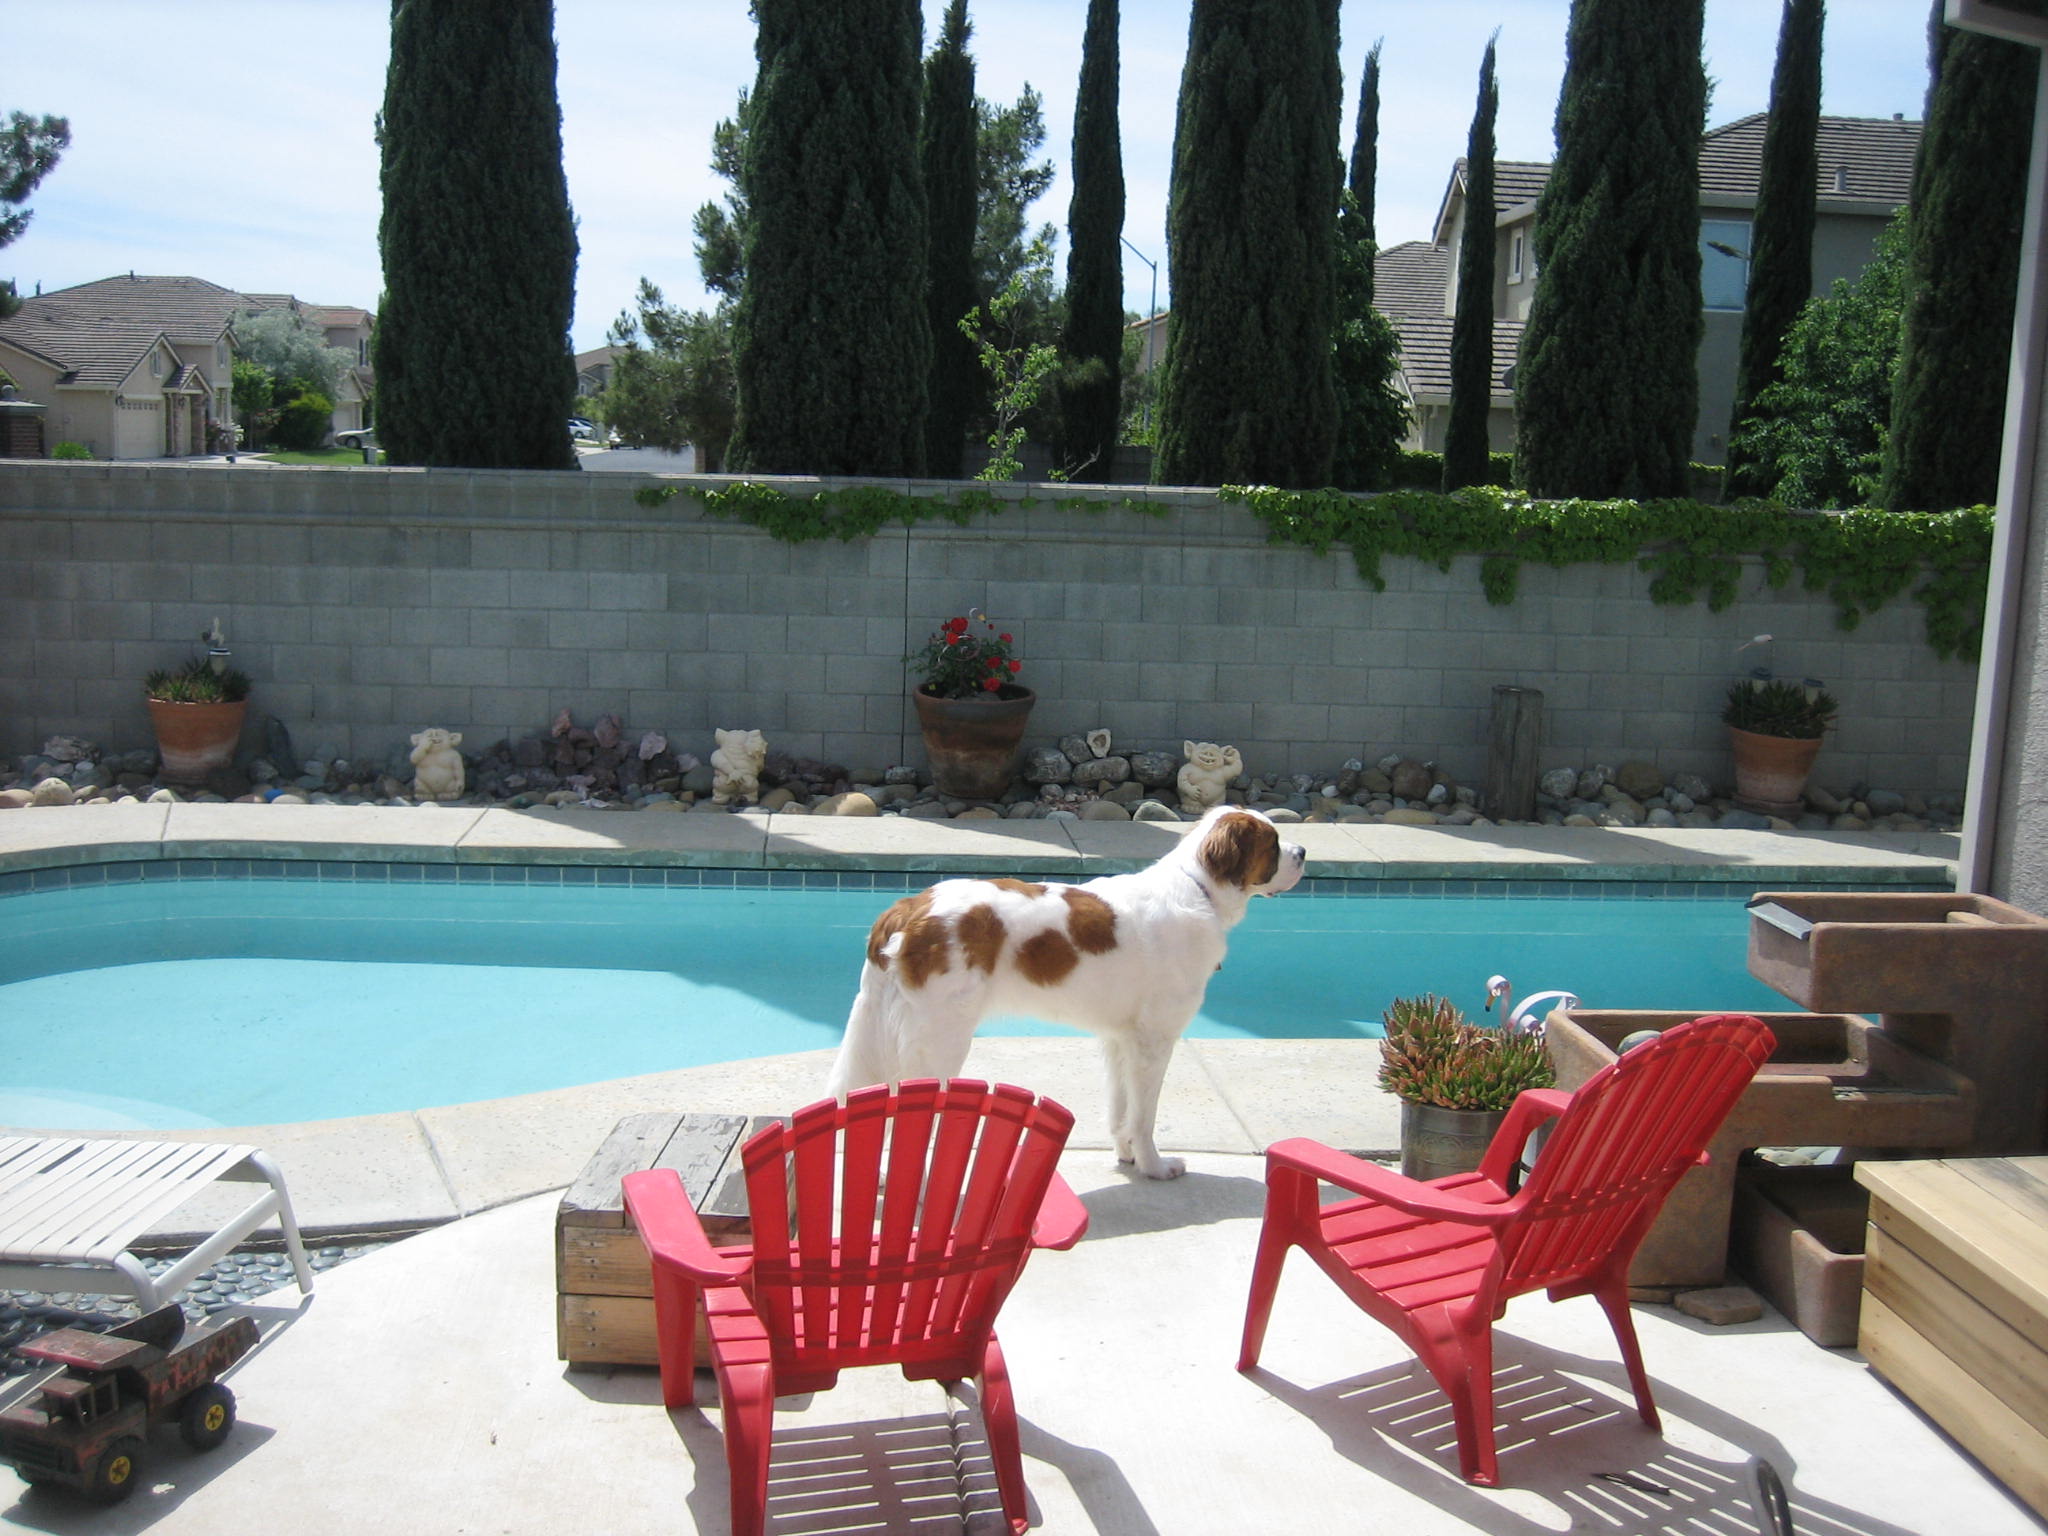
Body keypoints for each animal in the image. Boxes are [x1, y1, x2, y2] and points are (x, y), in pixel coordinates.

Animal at [824, 805, 1307, 1178]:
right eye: (1274, 842)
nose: (1303, 851)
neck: (1198, 887)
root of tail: (908, 907)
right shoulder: (1154, 1040)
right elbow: (1144, 1114)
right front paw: (1154, 1167)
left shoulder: (1120, 1039)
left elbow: (1120, 1108)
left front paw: (1128, 1157)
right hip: (940, 1041)